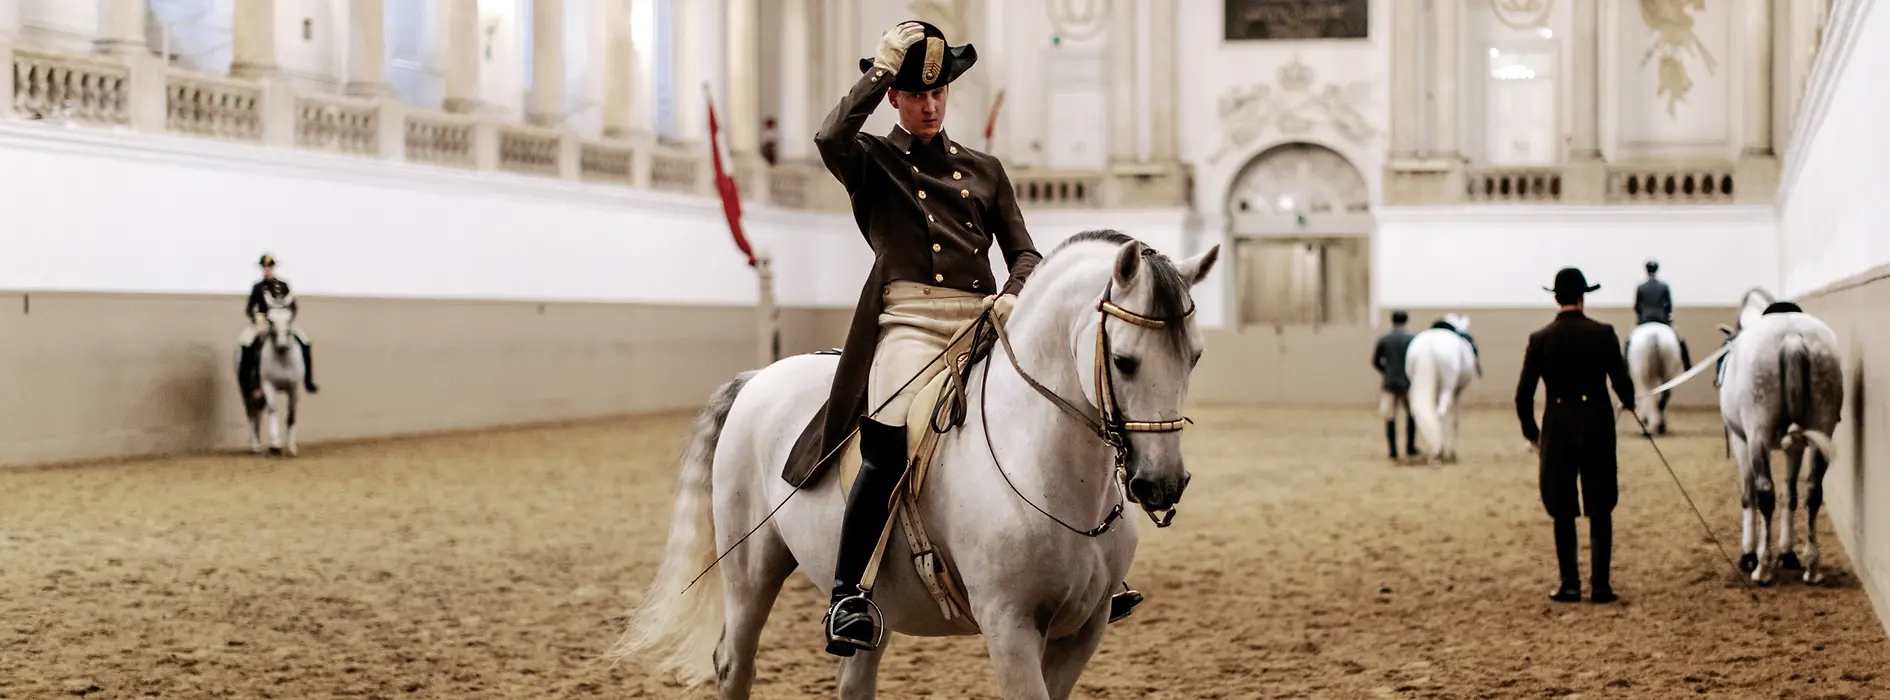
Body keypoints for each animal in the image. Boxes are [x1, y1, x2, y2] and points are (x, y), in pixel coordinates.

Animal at [612, 232, 1217, 696]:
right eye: (1124, 360)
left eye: (1195, 357)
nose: (1163, 484)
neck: (1051, 475)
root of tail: (757, 378)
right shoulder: (1009, 625)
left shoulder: (1084, 629)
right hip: (751, 574)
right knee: (734, 665)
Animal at [1406, 314, 1474, 461]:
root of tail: (1431, 345)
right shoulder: (1457, 391)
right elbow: (1455, 420)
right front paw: (1452, 453)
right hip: (1447, 387)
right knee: (1440, 413)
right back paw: (1440, 452)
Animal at [1716, 287, 1844, 586]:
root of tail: (1793, 338)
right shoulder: (1793, 448)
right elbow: (1791, 495)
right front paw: (1787, 554)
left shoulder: (1742, 443)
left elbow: (1749, 495)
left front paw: (1748, 554)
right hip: (1820, 430)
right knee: (1812, 491)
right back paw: (1811, 566)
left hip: (1758, 434)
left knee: (1765, 492)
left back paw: (1762, 567)